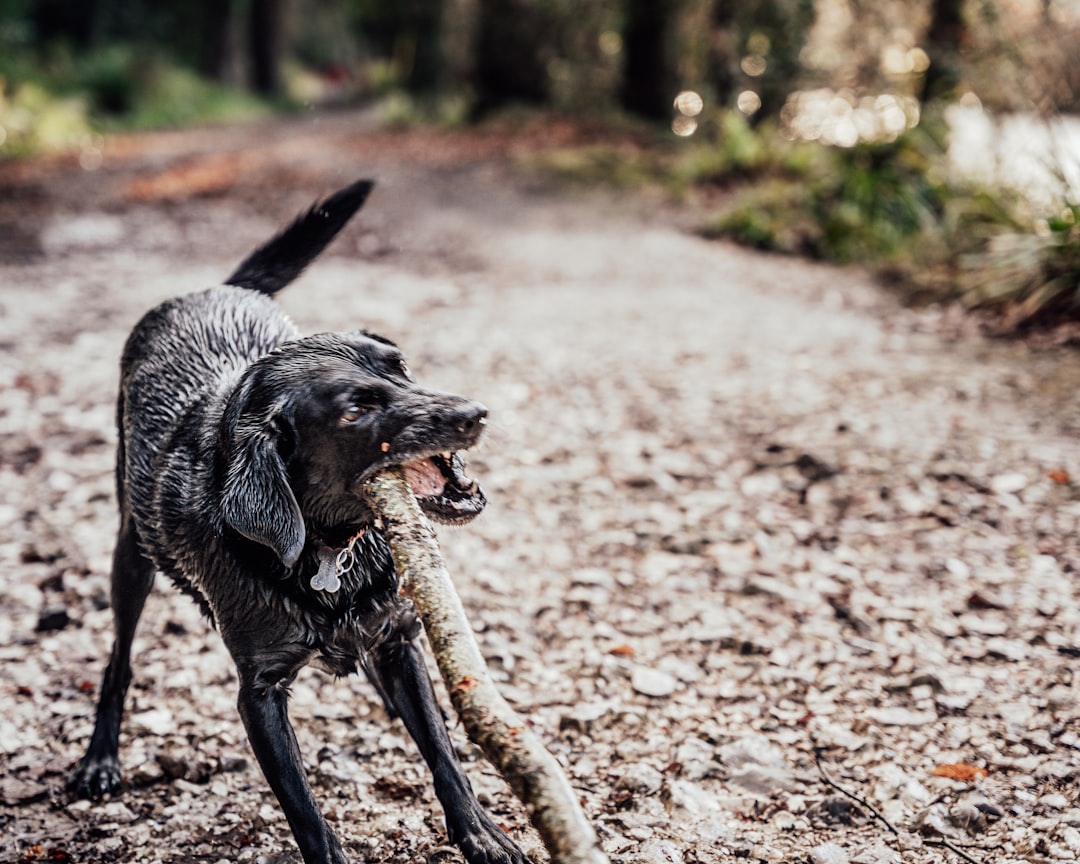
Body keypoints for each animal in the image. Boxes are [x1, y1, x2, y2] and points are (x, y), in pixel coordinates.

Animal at [68, 180, 527, 864]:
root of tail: (215, 288)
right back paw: (100, 757)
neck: (327, 547)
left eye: (400, 365)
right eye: (355, 409)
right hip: (132, 554)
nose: (474, 413)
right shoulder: (258, 696)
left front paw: (480, 832)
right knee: (118, 660)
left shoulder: (400, 641)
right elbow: (305, 812)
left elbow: (444, 754)